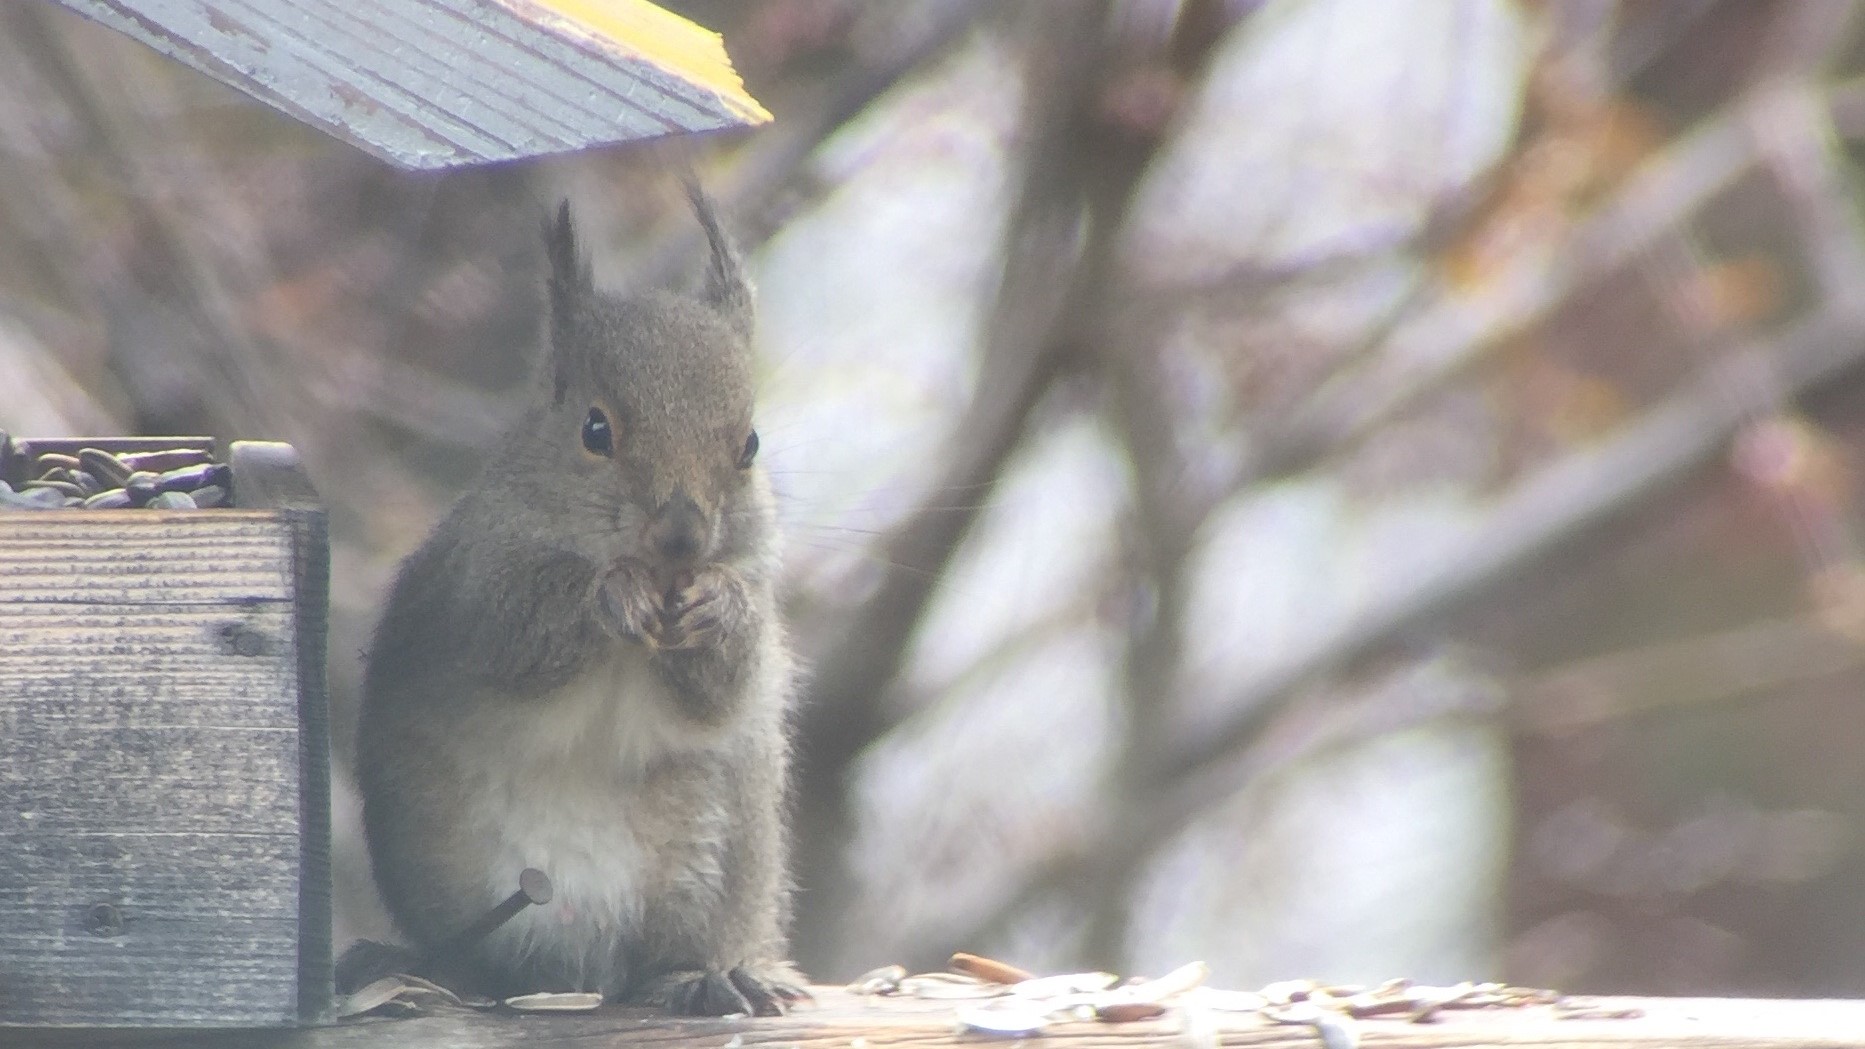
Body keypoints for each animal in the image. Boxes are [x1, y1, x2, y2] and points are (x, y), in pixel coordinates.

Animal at [352, 181, 805, 1015]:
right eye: (595, 429)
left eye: (750, 445)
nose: (683, 536)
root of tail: (582, 965)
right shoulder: (474, 582)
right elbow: (518, 635)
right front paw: (609, 595)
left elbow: (720, 691)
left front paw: (719, 610)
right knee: (480, 961)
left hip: (714, 860)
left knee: (664, 959)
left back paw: (708, 977)